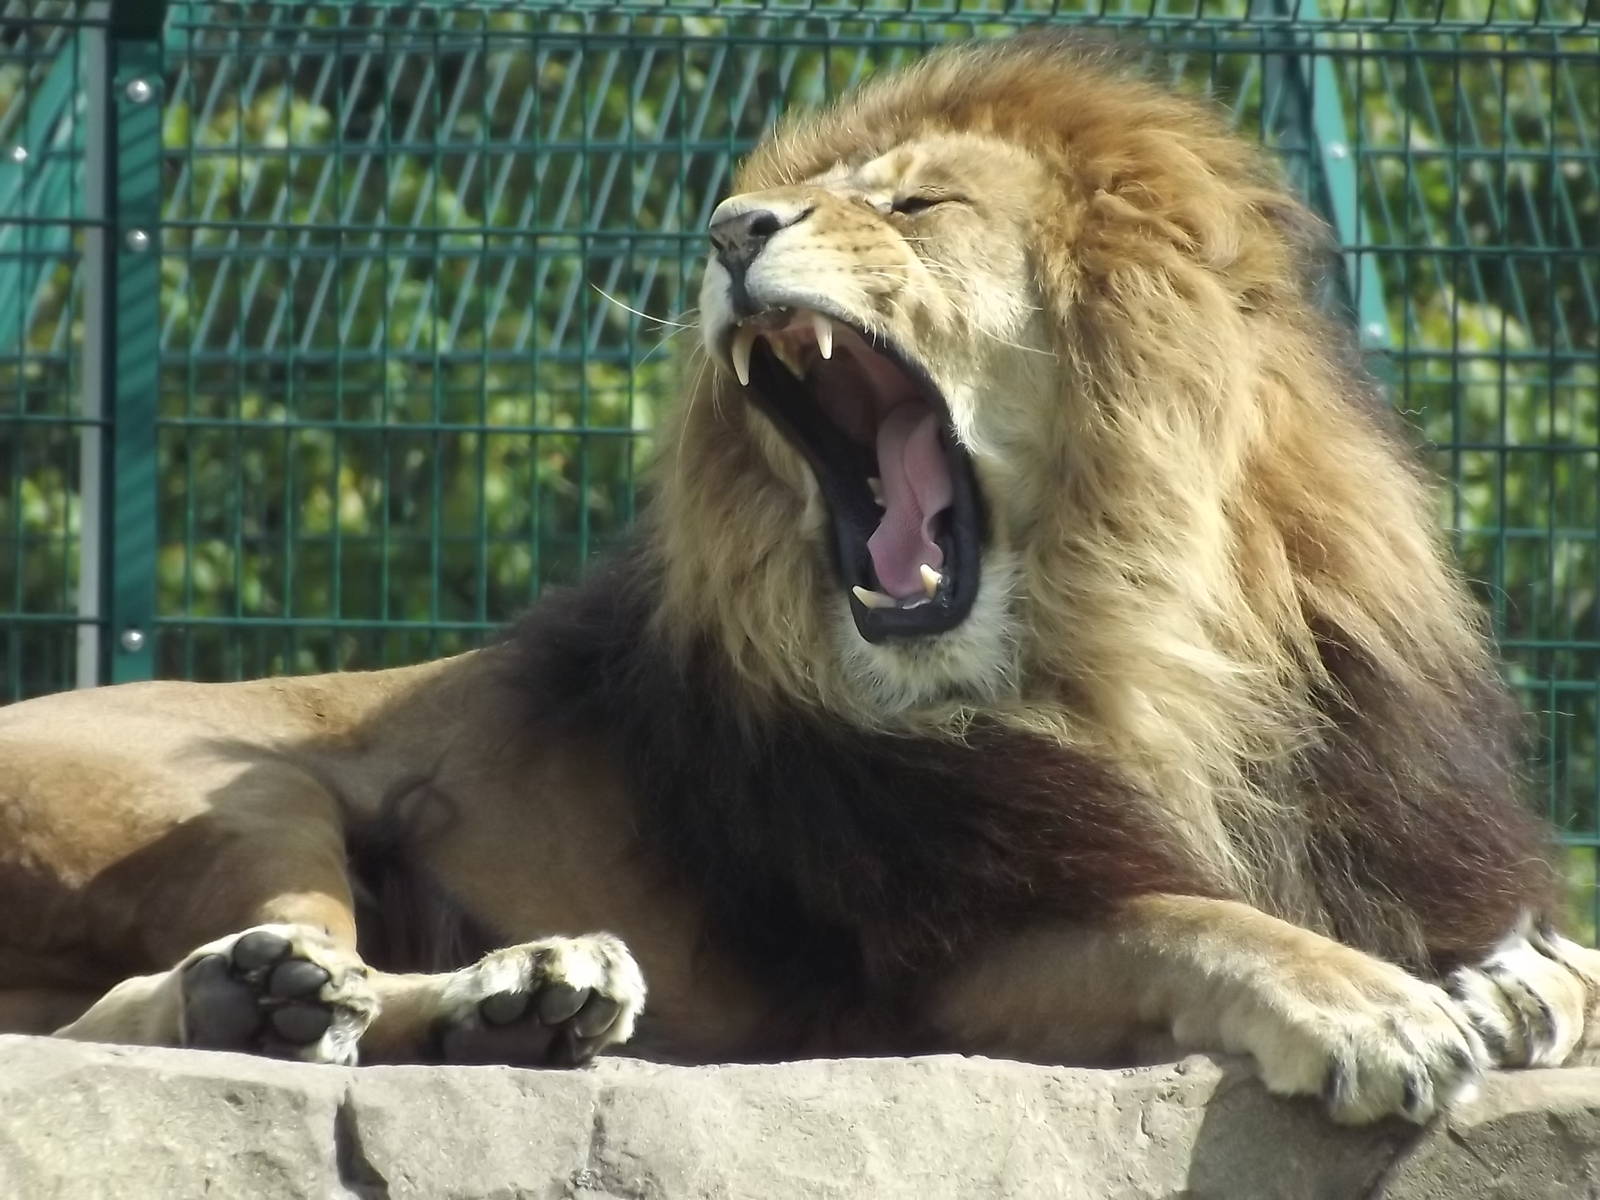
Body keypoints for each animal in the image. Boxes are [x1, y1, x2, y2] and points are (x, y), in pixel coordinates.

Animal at [2, 33, 1597, 1125]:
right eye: (783, 204)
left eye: (916, 206)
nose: (728, 229)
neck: (1150, 646)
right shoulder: (923, 969)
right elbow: (1188, 916)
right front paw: (1374, 1007)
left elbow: (1564, 963)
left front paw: (1514, 981)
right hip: (239, 792)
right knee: (111, 1014)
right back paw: (284, 995)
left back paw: (518, 1003)